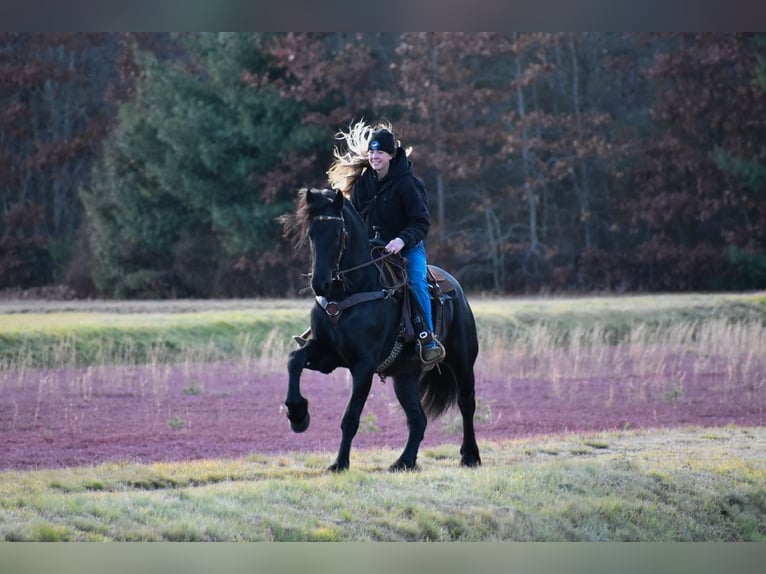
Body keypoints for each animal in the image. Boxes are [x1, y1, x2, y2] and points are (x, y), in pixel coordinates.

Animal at [283, 187, 481, 471]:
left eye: (338, 233)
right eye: (311, 233)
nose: (320, 283)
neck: (347, 294)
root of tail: (457, 290)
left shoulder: (364, 364)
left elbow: (351, 417)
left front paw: (340, 463)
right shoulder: (326, 355)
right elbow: (294, 360)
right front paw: (297, 414)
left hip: (462, 361)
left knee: (466, 403)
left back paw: (470, 456)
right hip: (405, 376)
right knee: (417, 419)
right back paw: (404, 462)